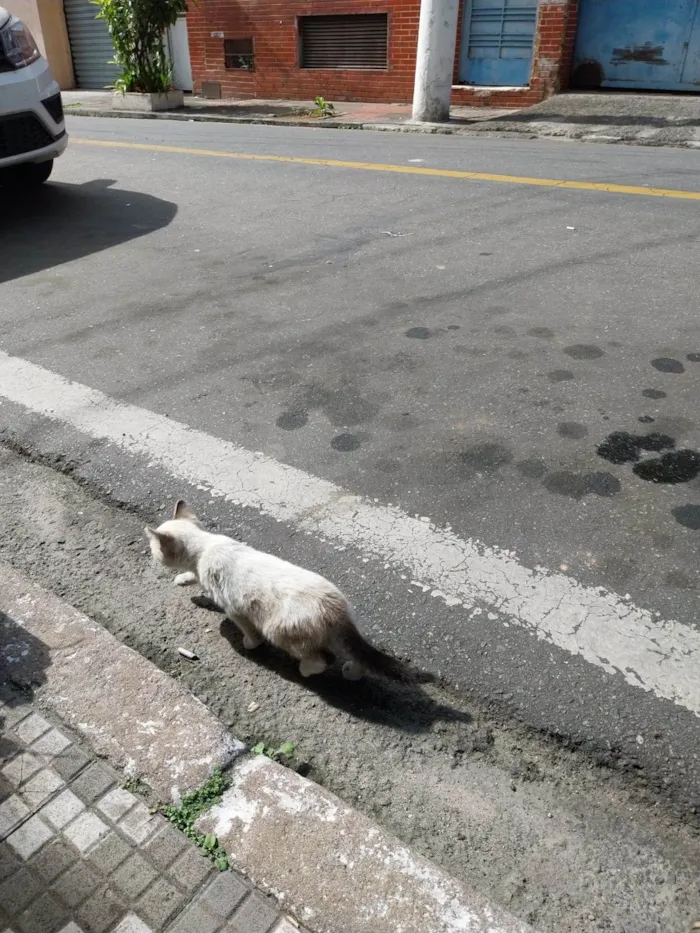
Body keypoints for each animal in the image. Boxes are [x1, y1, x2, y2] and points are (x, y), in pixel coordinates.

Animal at [144, 498, 416, 680]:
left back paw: (306, 670)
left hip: (277, 630)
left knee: (324, 659)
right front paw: (182, 580)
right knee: (357, 654)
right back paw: (352, 672)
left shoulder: (234, 609)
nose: (150, 554)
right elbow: (192, 577)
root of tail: (334, 607)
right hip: (342, 631)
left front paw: (250, 644)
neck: (205, 547)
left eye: (154, 548)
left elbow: (248, 631)